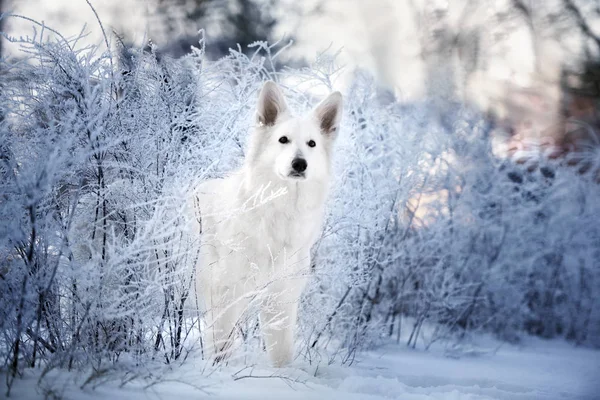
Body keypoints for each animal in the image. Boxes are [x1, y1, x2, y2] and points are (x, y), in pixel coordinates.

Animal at [189, 81, 342, 366]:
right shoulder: (225, 295)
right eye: (283, 140)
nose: (299, 164)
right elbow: (220, 350)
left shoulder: (281, 300)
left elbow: (282, 356)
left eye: (312, 144)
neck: (277, 209)